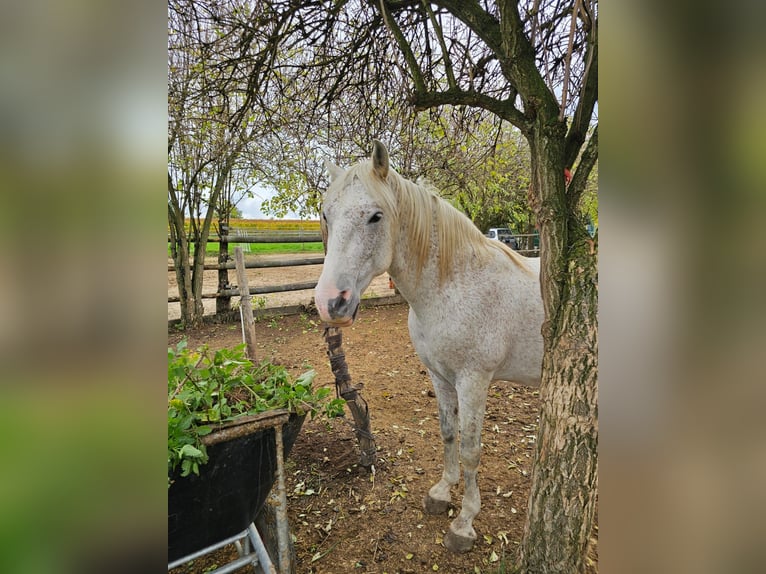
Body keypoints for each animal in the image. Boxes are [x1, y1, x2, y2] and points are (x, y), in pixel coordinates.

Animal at [314, 140, 544, 553]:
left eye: (375, 217)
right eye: (326, 214)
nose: (330, 303)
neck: (456, 283)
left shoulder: (473, 381)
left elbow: (470, 449)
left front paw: (465, 522)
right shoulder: (440, 376)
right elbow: (447, 432)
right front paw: (441, 493)